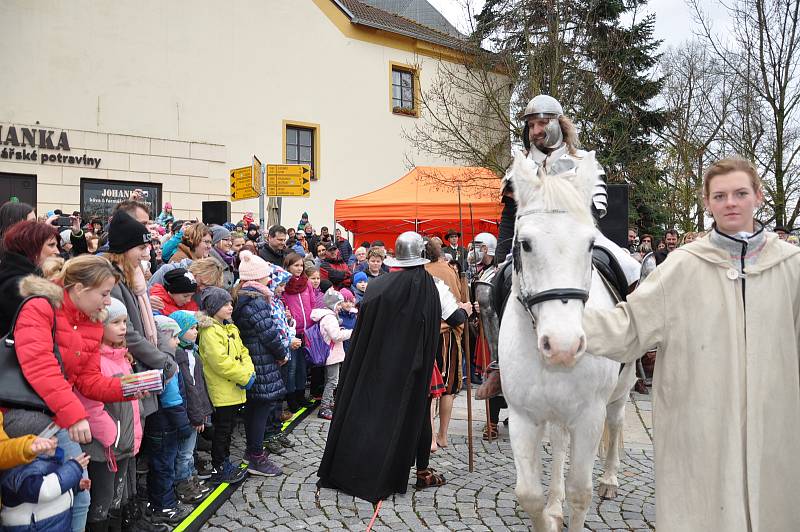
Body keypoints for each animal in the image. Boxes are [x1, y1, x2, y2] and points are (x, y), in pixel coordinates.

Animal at [500, 150, 636, 532]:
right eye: (526, 244)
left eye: (590, 244)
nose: (563, 346)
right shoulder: (523, 417)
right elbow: (529, 494)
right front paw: (548, 512)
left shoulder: (589, 417)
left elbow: (580, 494)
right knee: (560, 443)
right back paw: (555, 503)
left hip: (622, 389)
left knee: (616, 423)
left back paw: (609, 480)